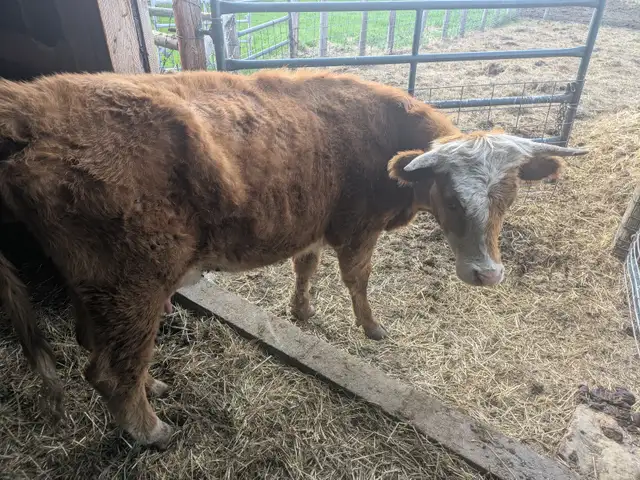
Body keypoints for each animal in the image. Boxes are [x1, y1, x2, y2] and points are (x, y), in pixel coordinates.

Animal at [0, 69, 587, 449]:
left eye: (509, 192)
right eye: (447, 192)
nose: (486, 273)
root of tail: (35, 102)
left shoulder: (312, 227)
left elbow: (307, 268)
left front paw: (302, 312)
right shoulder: (358, 228)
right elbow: (357, 278)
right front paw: (372, 328)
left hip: (95, 285)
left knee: (98, 347)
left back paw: (156, 388)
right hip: (133, 281)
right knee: (108, 370)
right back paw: (152, 431)